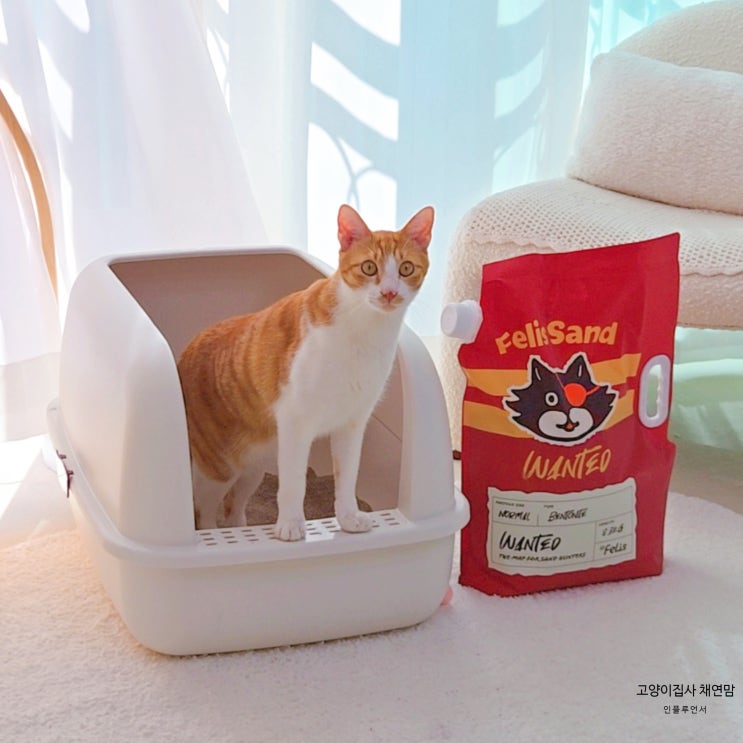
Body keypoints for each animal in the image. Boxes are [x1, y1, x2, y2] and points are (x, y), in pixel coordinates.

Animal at [177, 204, 433, 540]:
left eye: (405, 268)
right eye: (368, 268)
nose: (389, 293)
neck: (363, 329)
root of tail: (183, 354)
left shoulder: (352, 423)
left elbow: (347, 477)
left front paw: (348, 518)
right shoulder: (295, 422)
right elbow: (294, 483)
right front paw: (290, 524)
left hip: (253, 468)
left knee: (234, 508)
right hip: (218, 469)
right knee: (204, 514)